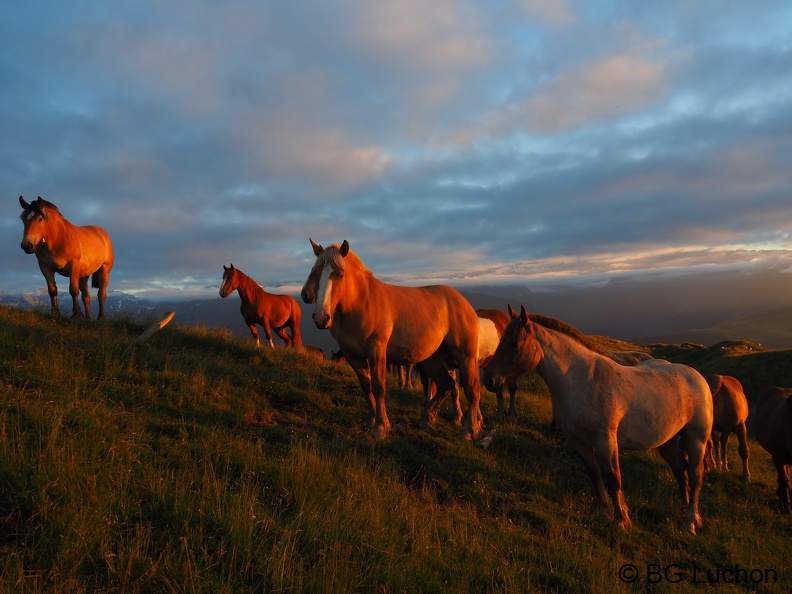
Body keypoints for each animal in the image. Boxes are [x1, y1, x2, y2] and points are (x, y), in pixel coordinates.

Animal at [300, 238, 480, 438]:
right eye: (315, 272)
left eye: (340, 275)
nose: (321, 317)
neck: (361, 303)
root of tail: (463, 302)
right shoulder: (353, 356)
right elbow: (367, 387)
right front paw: (371, 421)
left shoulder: (376, 351)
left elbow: (379, 387)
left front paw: (380, 427)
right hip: (432, 360)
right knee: (446, 384)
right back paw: (426, 419)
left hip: (465, 357)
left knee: (471, 390)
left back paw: (470, 430)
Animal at [482, 306, 712, 532]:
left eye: (514, 343)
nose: (489, 380)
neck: (582, 379)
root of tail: (697, 377)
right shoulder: (578, 441)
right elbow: (594, 474)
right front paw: (603, 511)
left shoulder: (606, 440)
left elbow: (613, 478)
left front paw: (622, 520)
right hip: (667, 442)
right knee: (681, 471)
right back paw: (686, 512)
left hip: (696, 439)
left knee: (695, 475)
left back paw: (690, 522)